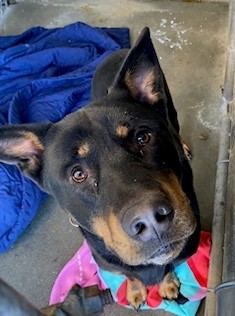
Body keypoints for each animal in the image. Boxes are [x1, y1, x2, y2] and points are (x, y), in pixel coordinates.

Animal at [0, 28, 200, 310]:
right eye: (78, 174)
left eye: (143, 137)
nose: (151, 221)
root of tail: (119, 52)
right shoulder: (109, 260)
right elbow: (130, 273)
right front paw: (136, 290)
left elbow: (170, 265)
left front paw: (168, 283)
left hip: (168, 104)